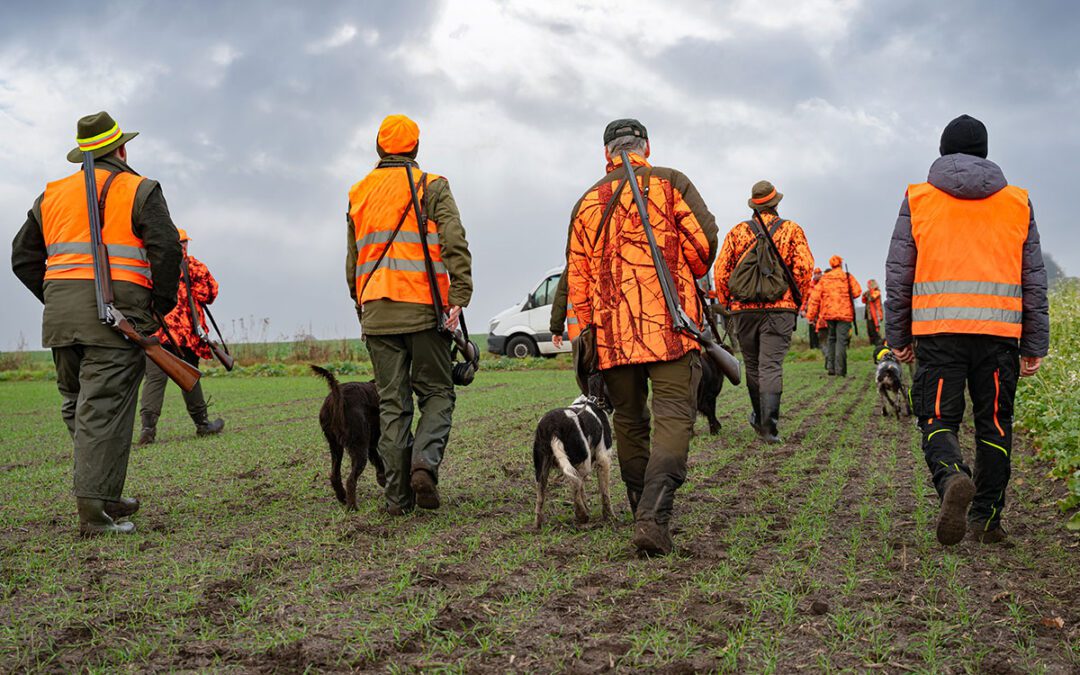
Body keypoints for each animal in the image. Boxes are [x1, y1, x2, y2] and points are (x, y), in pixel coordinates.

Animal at [311, 365, 386, 507]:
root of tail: (337, 396)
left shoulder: (371, 446)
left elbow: (378, 460)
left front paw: (382, 478)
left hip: (336, 446)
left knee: (335, 476)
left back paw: (343, 498)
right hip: (359, 449)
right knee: (350, 480)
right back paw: (352, 507)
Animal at [533, 393, 613, 529]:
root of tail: (553, 427)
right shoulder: (603, 458)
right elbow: (604, 492)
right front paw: (610, 517)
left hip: (541, 467)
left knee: (540, 495)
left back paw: (538, 523)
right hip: (584, 460)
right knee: (575, 484)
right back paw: (582, 515)